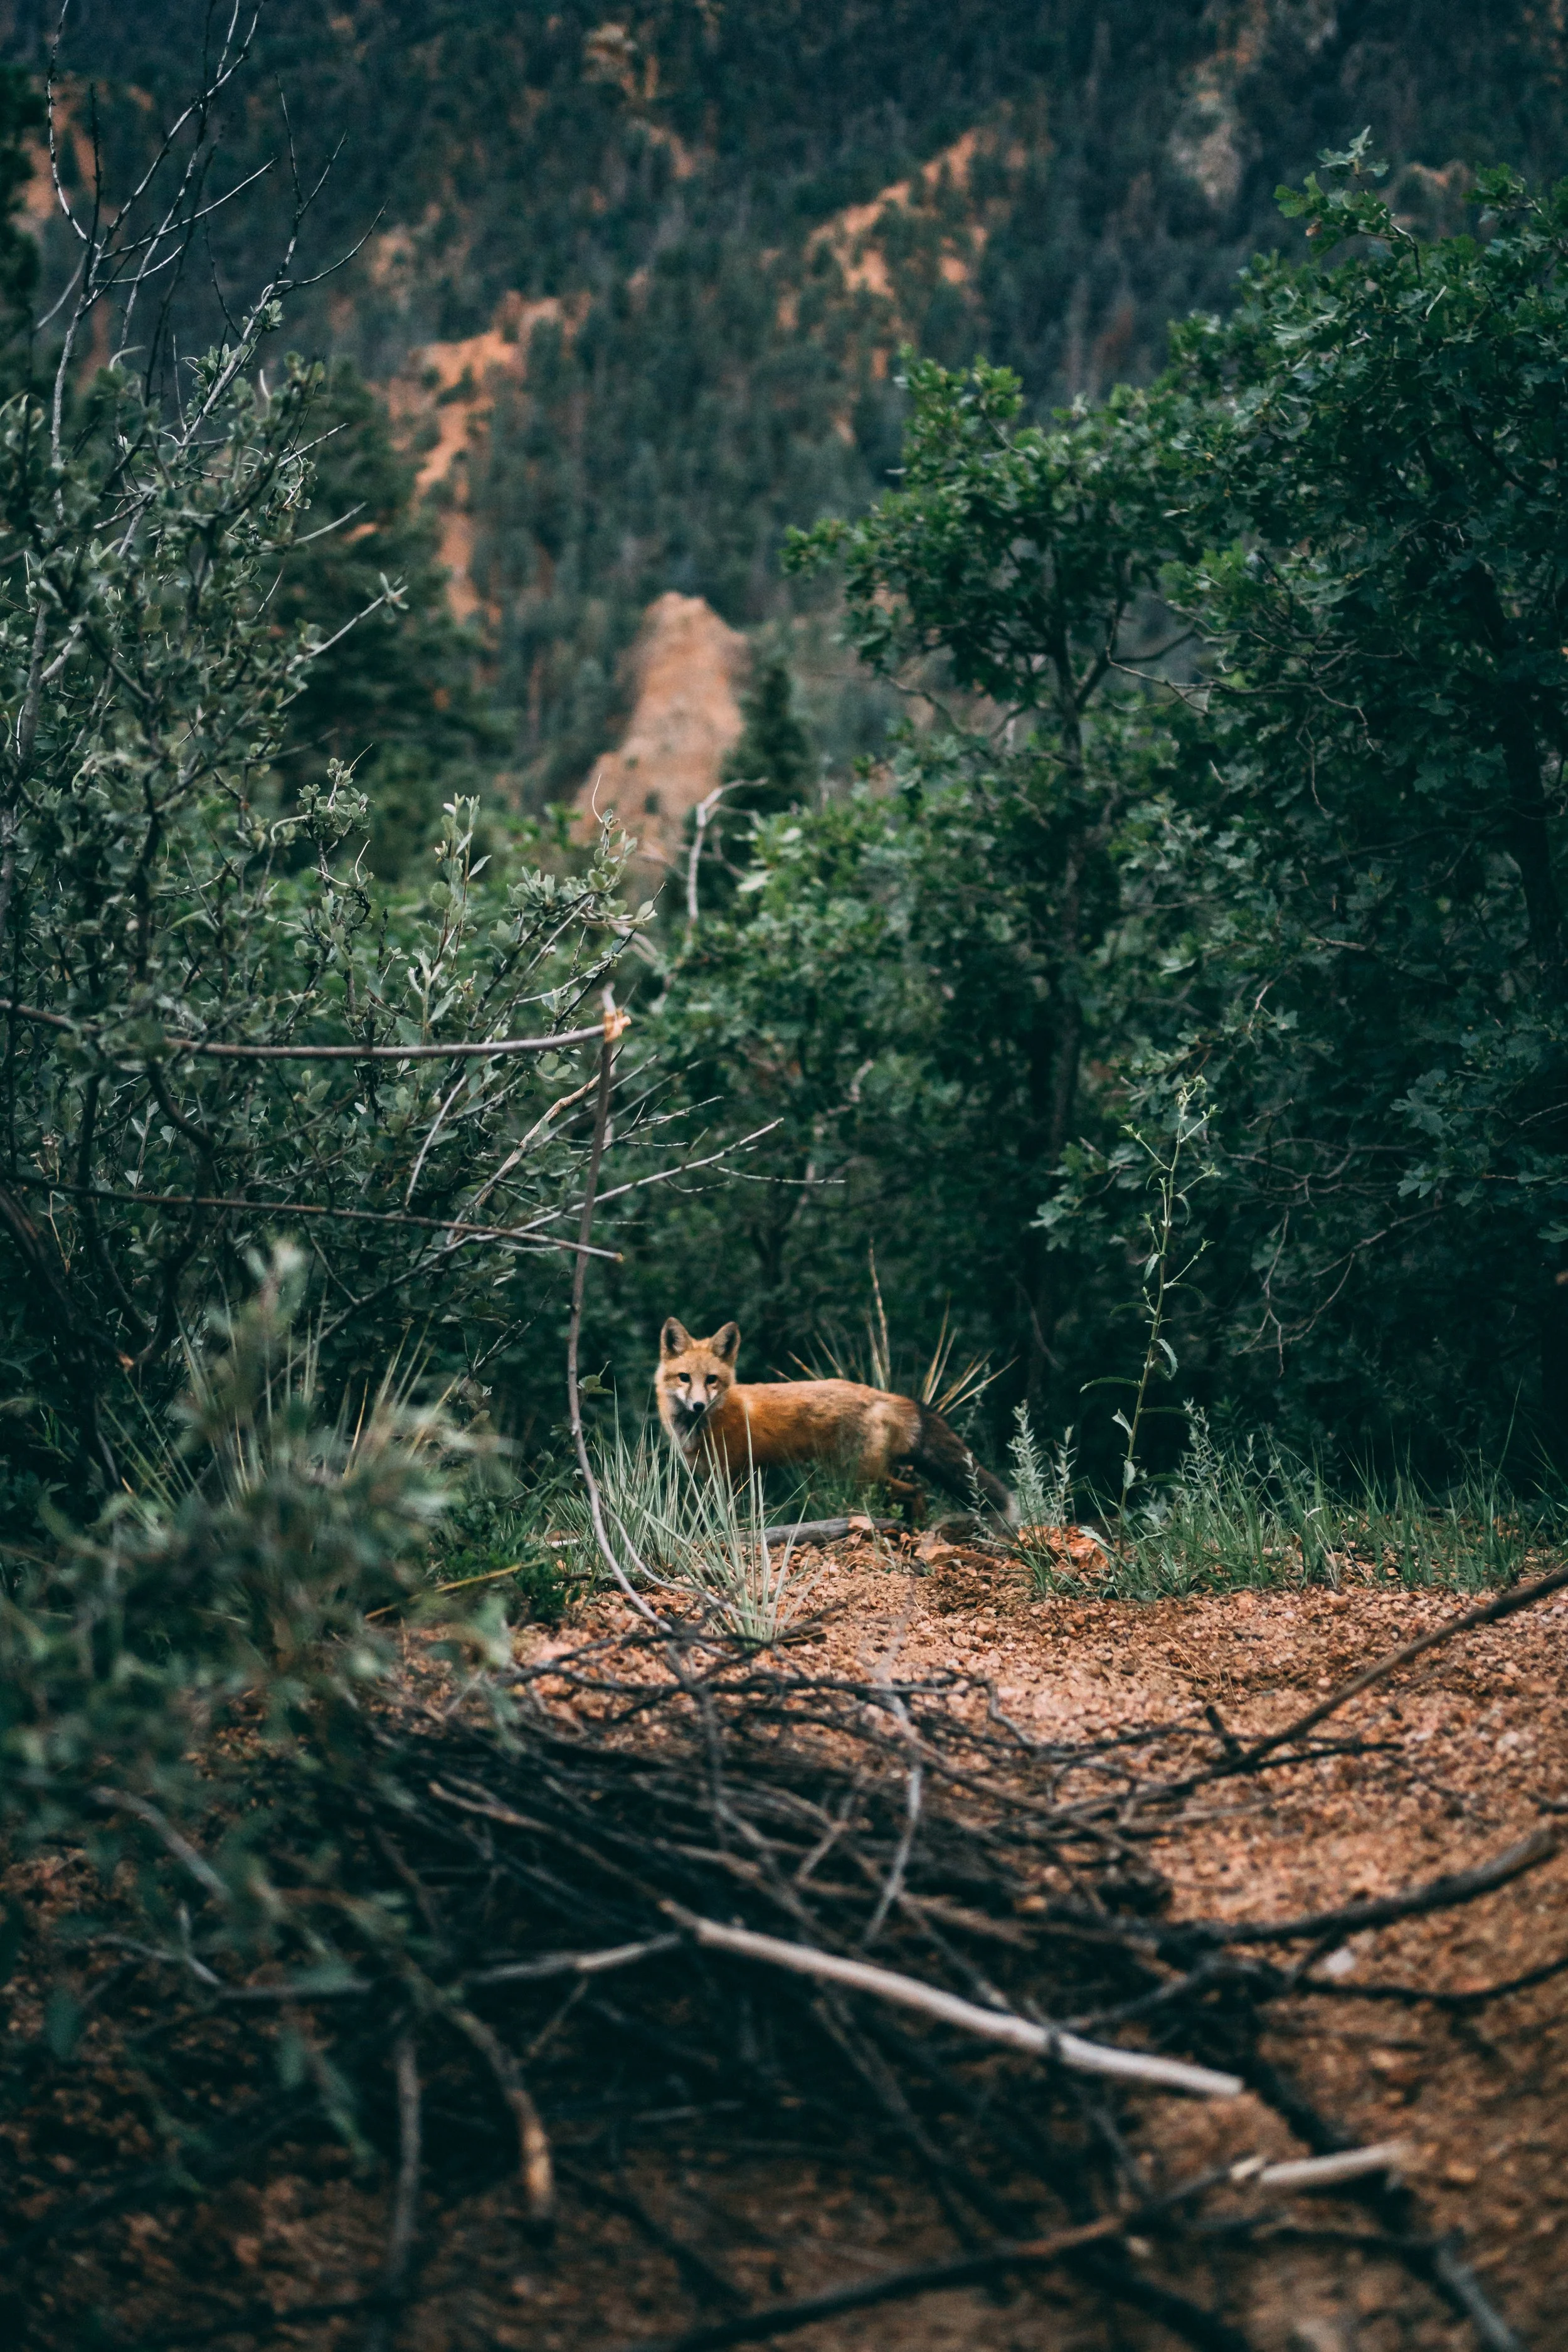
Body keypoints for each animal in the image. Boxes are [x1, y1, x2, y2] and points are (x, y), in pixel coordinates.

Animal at [655, 1318, 1016, 1521]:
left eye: (712, 1380)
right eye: (684, 1378)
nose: (698, 1405)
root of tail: (880, 1394)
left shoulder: (730, 1476)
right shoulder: (708, 1478)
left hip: (862, 1476)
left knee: (917, 1490)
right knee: (915, 1489)